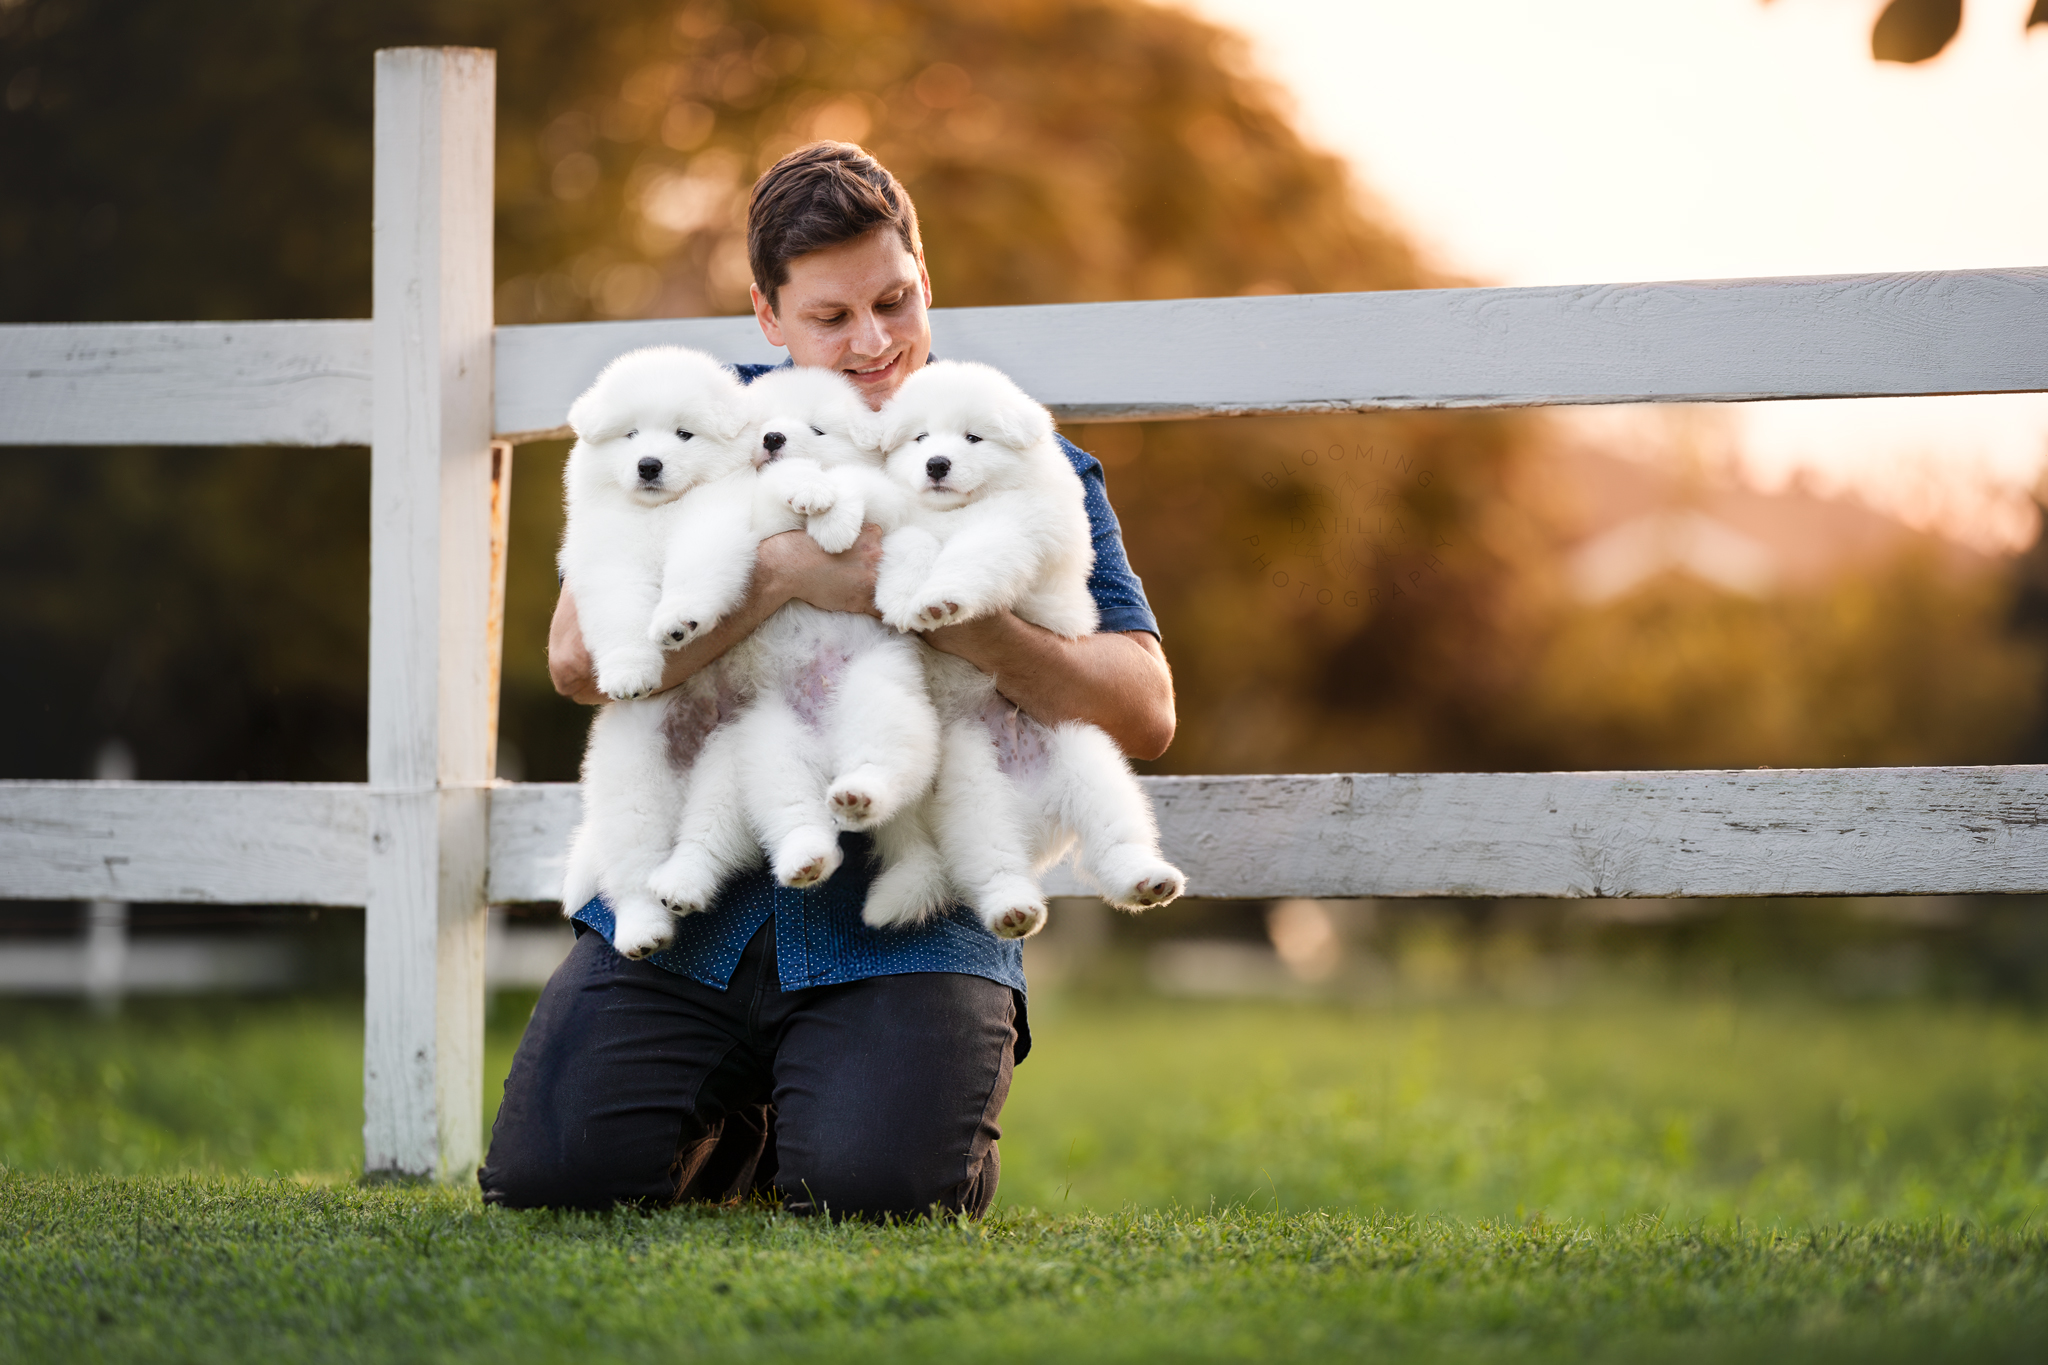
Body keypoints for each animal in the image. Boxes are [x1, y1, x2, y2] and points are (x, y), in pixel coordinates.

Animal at [557, 347, 757, 957]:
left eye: (684, 434)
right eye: (630, 435)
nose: (648, 464)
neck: (659, 515)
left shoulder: (719, 520)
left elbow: (694, 568)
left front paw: (676, 621)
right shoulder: (608, 558)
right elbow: (623, 612)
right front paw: (628, 672)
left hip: (737, 764)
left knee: (710, 837)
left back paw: (684, 884)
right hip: (631, 784)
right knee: (630, 873)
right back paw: (643, 929)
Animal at [647, 368, 950, 929]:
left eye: (817, 427)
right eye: (763, 423)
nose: (772, 439)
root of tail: (830, 754)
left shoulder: (889, 500)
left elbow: (854, 482)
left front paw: (831, 517)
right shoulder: (756, 513)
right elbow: (778, 484)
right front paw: (811, 493)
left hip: (878, 695)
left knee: (883, 761)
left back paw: (861, 794)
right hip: (768, 746)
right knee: (783, 815)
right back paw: (798, 858)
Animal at [864, 362, 1187, 941]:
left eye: (973, 438)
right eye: (920, 438)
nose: (937, 464)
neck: (959, 509)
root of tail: (1037, 814)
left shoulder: (1019, 524)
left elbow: (975, 553)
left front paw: (941, 598)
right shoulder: (900, 525)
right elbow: (911, 546)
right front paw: (904, 597)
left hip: (1083, 750)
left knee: (1114, 835)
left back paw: (1145, 878)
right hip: (970, 787)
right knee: (991, 863)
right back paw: (1013, 907)